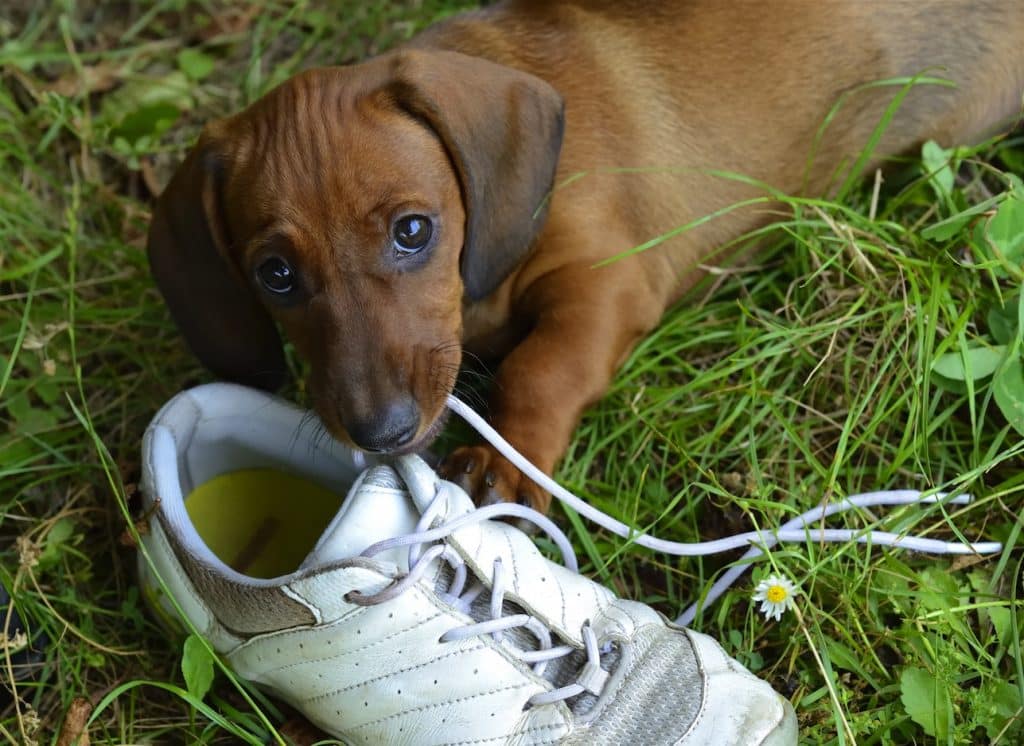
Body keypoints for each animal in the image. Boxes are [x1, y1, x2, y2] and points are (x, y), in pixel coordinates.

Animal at [149, 0, 1024, 509]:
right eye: (275, 276)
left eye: (413, 231)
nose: (384, 432)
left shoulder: (606, 283)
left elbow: (542, 368)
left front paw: (507, 461)